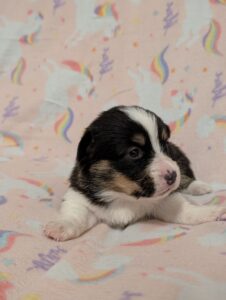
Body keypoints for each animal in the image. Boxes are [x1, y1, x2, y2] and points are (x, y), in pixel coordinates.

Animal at [43, 105, 226, 241]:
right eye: (134, 152)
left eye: (164, 143)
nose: (172, 175)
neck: (123, 196)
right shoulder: (79, 196)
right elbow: (75, 213)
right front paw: (60, 227)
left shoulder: (166, 199)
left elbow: (186, 211)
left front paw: (213, 211)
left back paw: (200, 187)